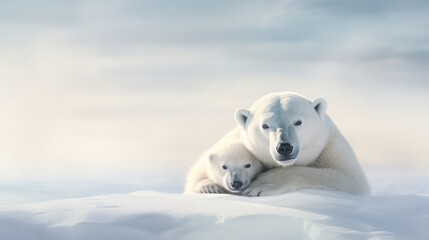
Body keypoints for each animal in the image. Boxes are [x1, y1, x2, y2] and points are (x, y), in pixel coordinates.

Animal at [232, 91, 370, 196]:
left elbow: (350, 178)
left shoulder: (330, 147)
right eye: (265, 125)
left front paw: (259, 185)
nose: (284, 147)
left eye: (298, 122)